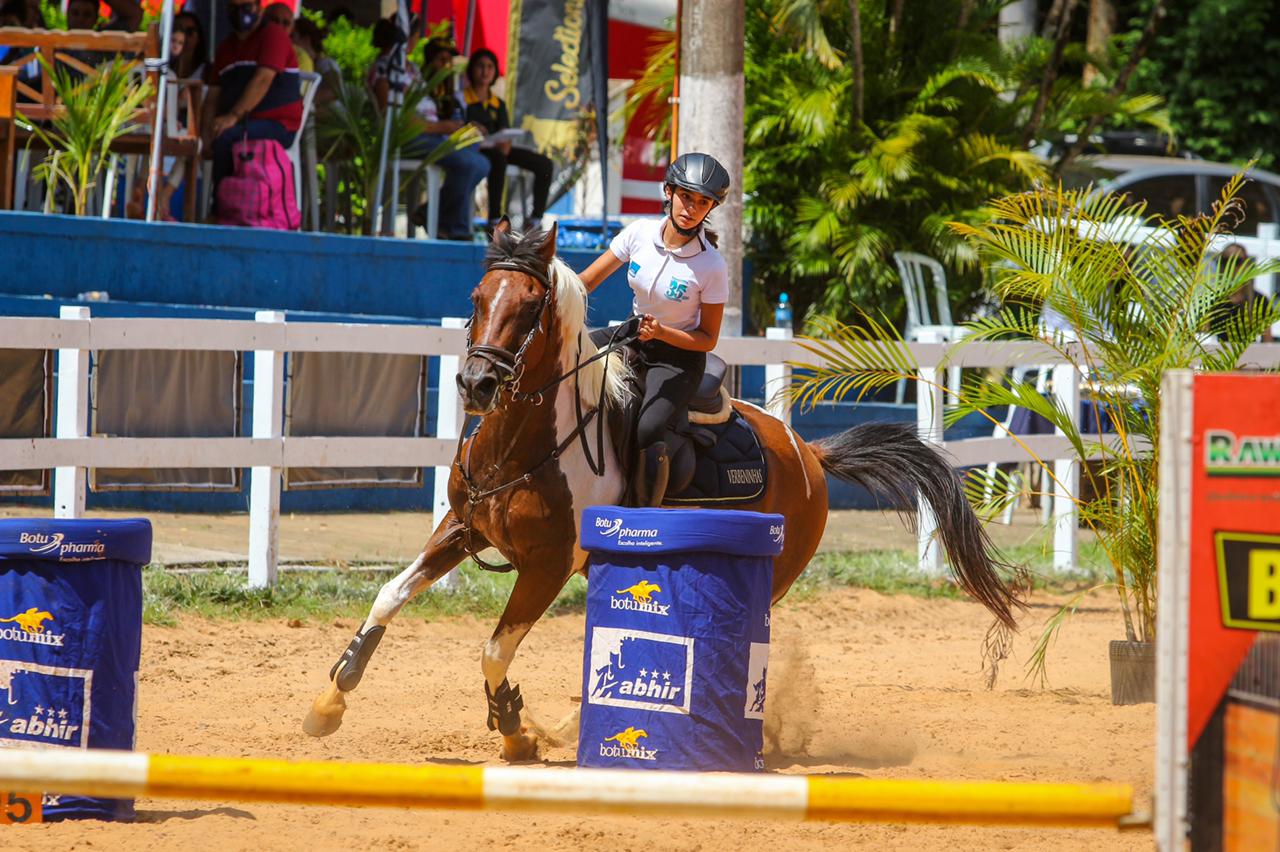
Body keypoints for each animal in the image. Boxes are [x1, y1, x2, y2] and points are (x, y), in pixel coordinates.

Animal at [304, 218, 1024, 757]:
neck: (527, 443)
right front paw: (330, 699)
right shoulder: (461, 529)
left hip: (768, 574)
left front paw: (513, 728)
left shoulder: (545, 566)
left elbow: (494, 648)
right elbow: (389, 596)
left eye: (530, 306)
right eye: (480, 298)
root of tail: (810, 453)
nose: (477, 384)